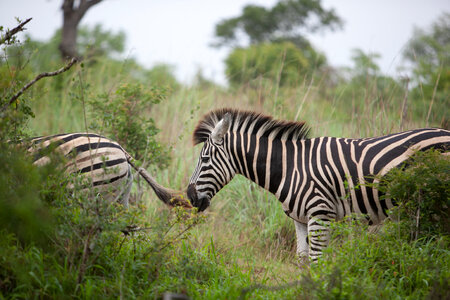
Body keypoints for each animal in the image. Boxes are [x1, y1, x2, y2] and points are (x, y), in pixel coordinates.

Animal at [186, 108, 450, 260]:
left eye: (204, 159)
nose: (189, 197)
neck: (290, 167)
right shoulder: (300, 219)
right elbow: (303, 260)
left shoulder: (320, 214)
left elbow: (317, 260)